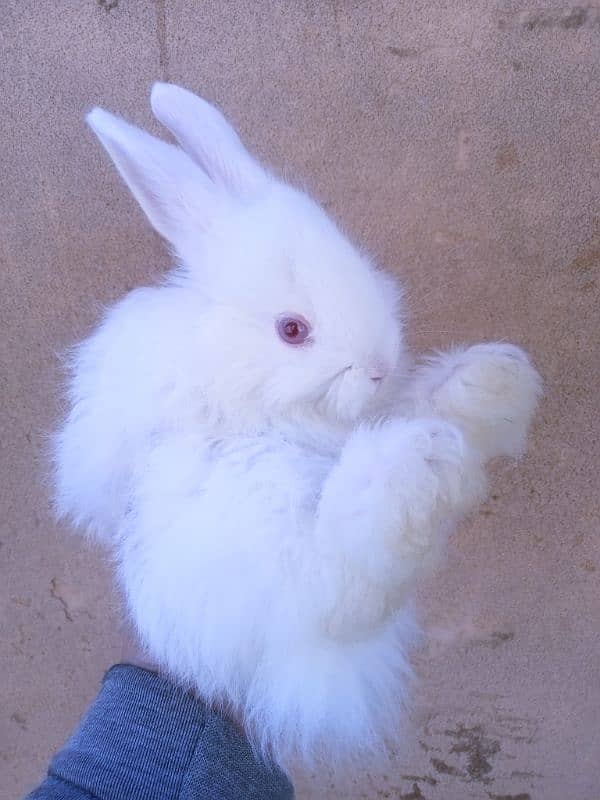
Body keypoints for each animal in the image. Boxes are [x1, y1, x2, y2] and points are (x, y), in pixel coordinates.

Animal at [52, 84, 544, 764]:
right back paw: (423, 465)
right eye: (292, 330)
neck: (232, 361)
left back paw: (488, 386)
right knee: (346, 582)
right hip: (266, 510)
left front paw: (479, 383)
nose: (377, 366)